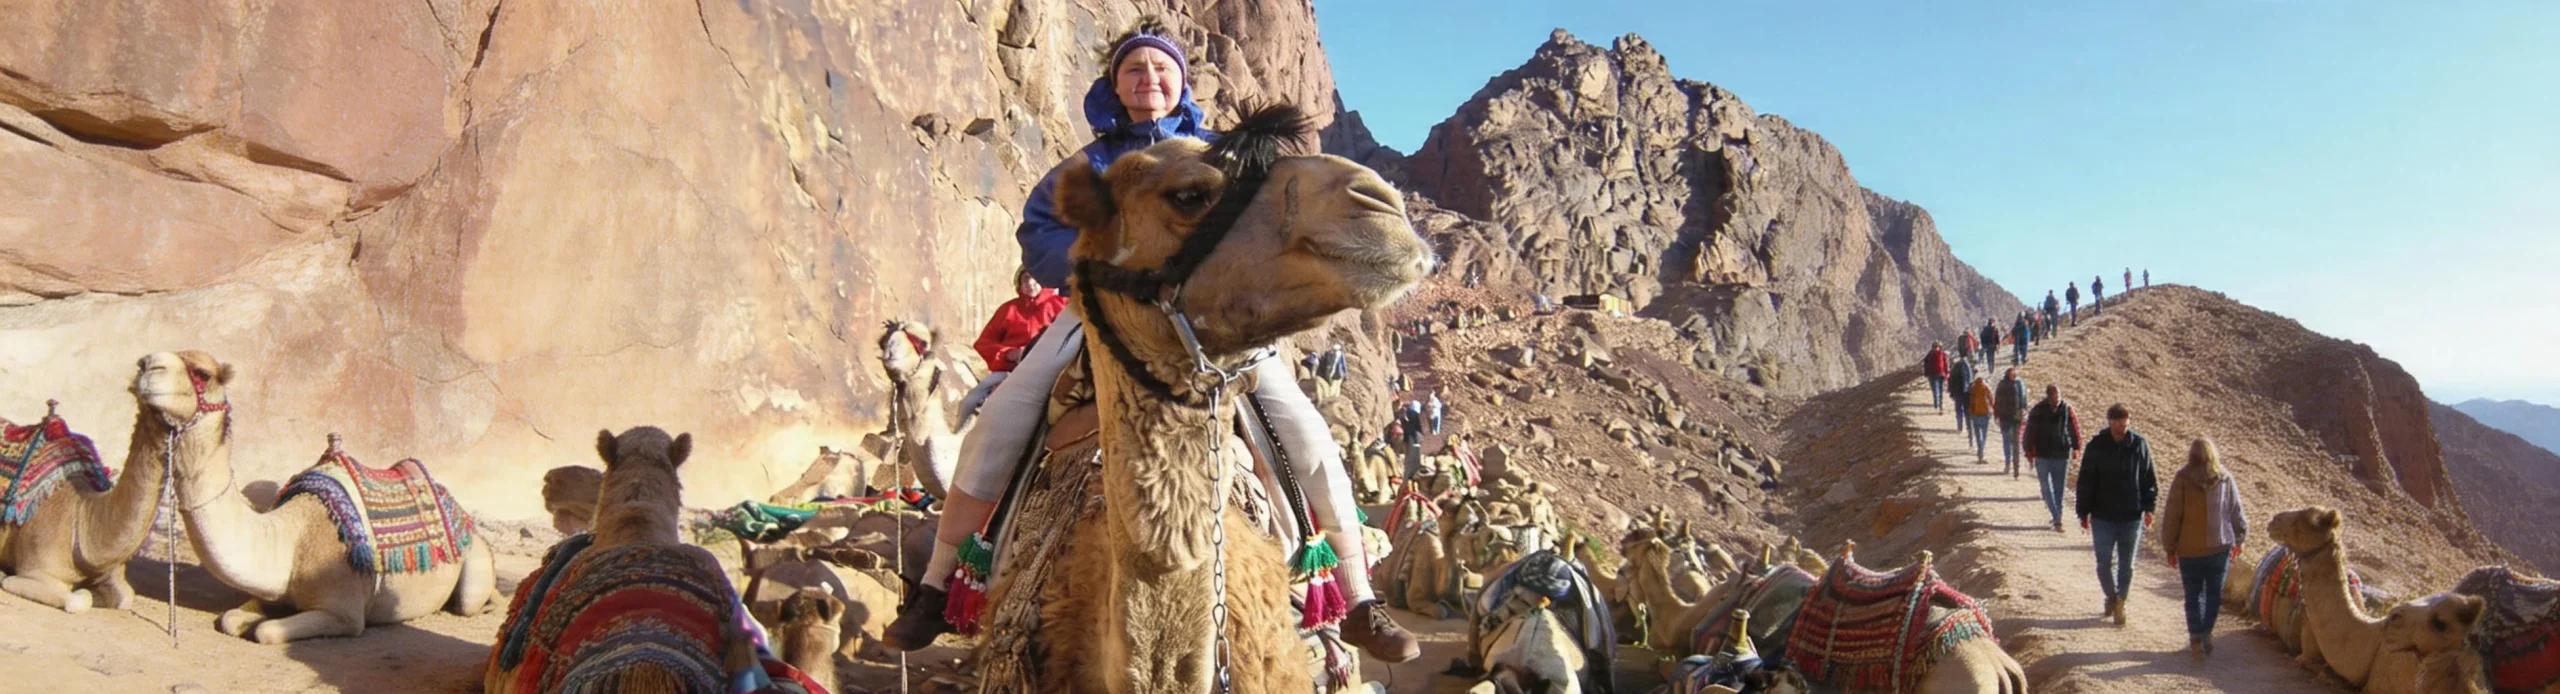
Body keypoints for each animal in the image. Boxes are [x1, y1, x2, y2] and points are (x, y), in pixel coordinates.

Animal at [1, 353, 224, 613]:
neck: (81, 520)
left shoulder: (109, 572)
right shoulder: (35, 572)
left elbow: (125, 597)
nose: (150, 364)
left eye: (203, 374)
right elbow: (78, 600)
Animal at [163, 381, 495, 643]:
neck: (290, 538)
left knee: (469, 602)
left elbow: (267, 631)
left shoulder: (343, 612)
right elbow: (231, 618)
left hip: (475, 557)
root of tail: (463, 516)